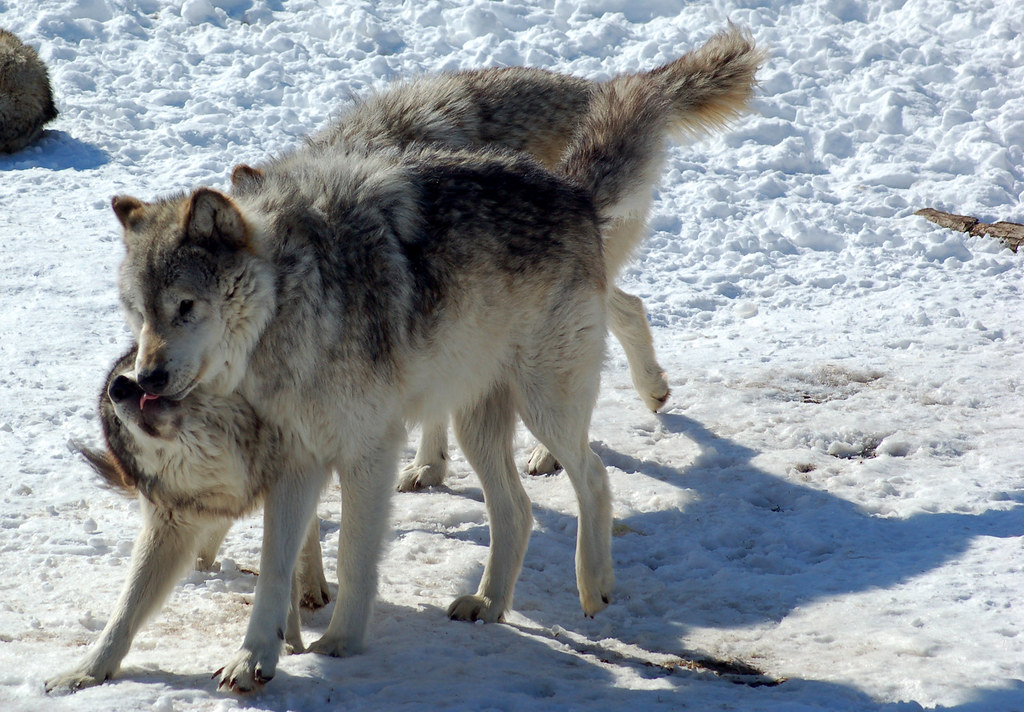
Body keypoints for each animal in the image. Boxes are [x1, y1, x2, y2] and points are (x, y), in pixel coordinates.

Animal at [47, 26, 764, 694]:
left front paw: (338, 644)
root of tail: (574, 193)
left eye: (186, 307)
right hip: (478, 421)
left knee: (592, 475)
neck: (296, 306)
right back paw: (489, 603)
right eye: (138, 313)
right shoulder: (299, 461)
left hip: (545, 403)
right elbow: (279, 565)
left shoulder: (368, 449)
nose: (139, 380)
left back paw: (594, 584)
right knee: (517, 511)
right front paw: (252, 657)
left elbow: (354, 553)